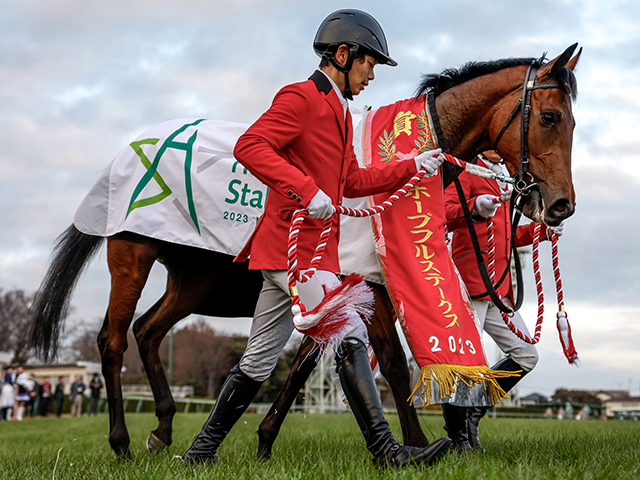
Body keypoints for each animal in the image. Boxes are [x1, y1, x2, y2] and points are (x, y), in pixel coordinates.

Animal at [28, 44, 580, 458]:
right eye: (551, 116)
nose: (560, 205)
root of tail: (128, 151)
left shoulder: (334, 288)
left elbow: (303, 366)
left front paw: (265, 440)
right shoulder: (369, 283)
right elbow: (391, 363)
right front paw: (418, 444)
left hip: (195, 280)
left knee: (148, 331)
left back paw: (163, 431)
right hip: (132, 257)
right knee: (113, 339)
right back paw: (121, 440)